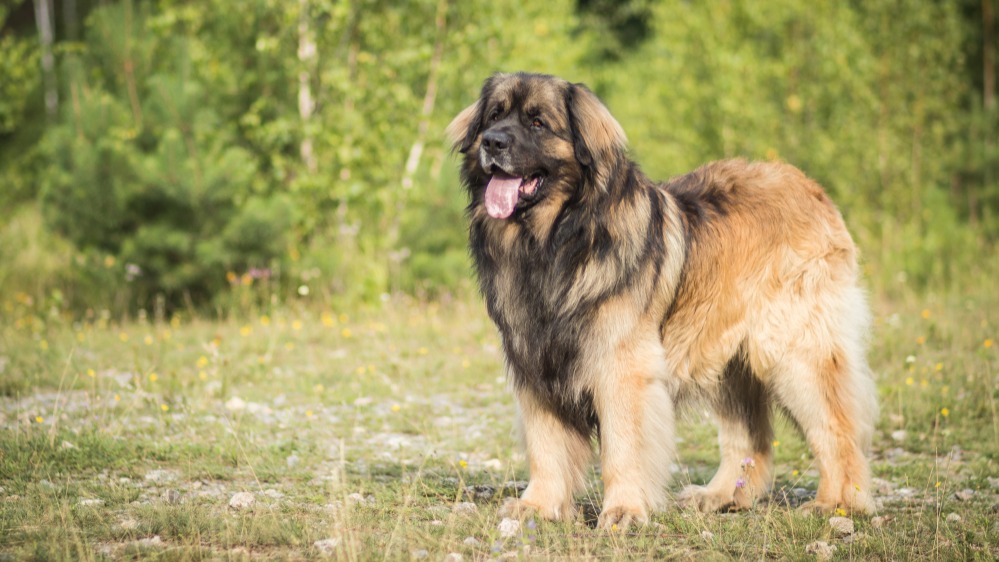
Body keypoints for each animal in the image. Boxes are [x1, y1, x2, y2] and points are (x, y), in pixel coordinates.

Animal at [446, 72, 876, 528]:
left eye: (537, 122)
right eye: (494, 115)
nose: (492, 142)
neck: (553, 241)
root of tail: (811, 187)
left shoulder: (621, 366)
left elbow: (622, 445)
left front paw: (623, 510)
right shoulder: (534, 362)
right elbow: (546, 444)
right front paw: (538, 506)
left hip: (793, 352)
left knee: (836, 427)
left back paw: (837, 503)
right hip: (726, 358)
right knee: (748, 436)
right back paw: (720, 495)